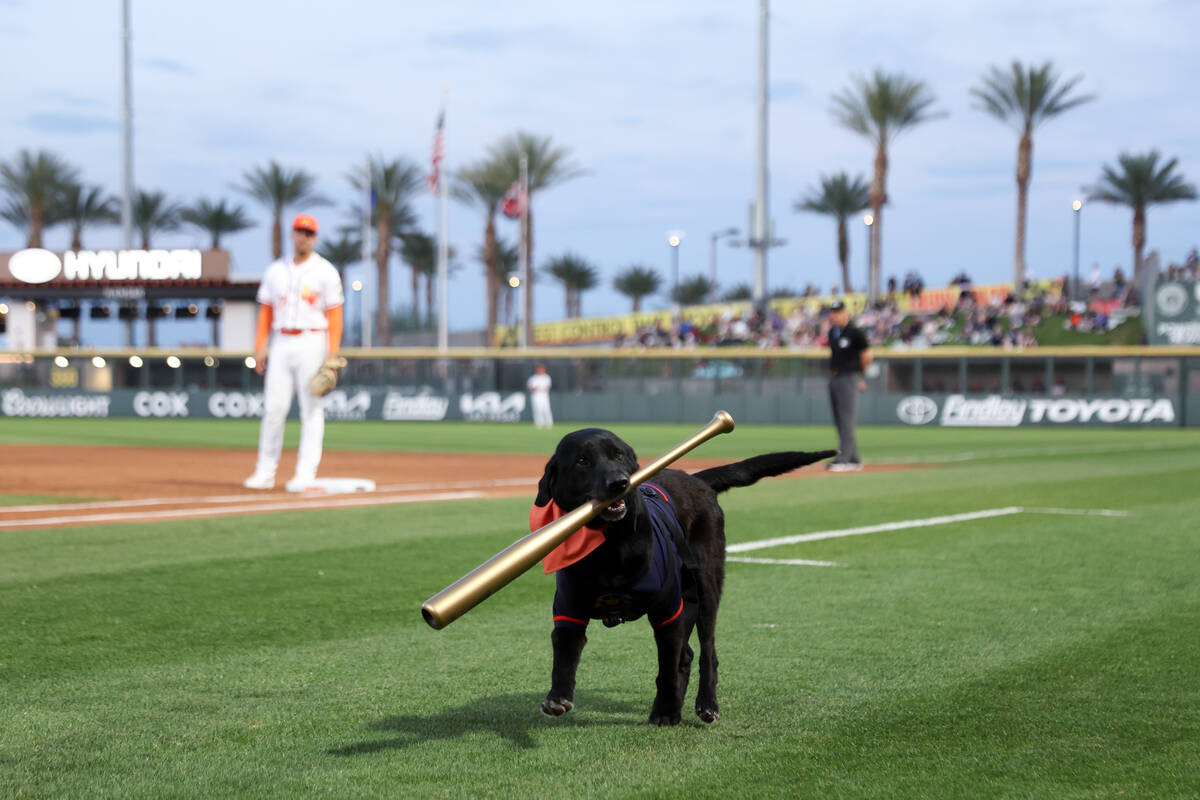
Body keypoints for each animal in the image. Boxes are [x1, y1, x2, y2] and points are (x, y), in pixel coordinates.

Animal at [535, 429, 835, 729]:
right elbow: (564, 655)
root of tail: (696, 479)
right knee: (687, 655)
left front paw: (666, 711)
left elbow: (667, 668)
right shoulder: (569, 610)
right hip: (688, 600)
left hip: (706, 587)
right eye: (582, 461)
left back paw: (705, 703)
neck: (610, 549)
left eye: (618, 455)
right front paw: (558, 696)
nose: (618, 482)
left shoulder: (667, 612)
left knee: (707, 652)